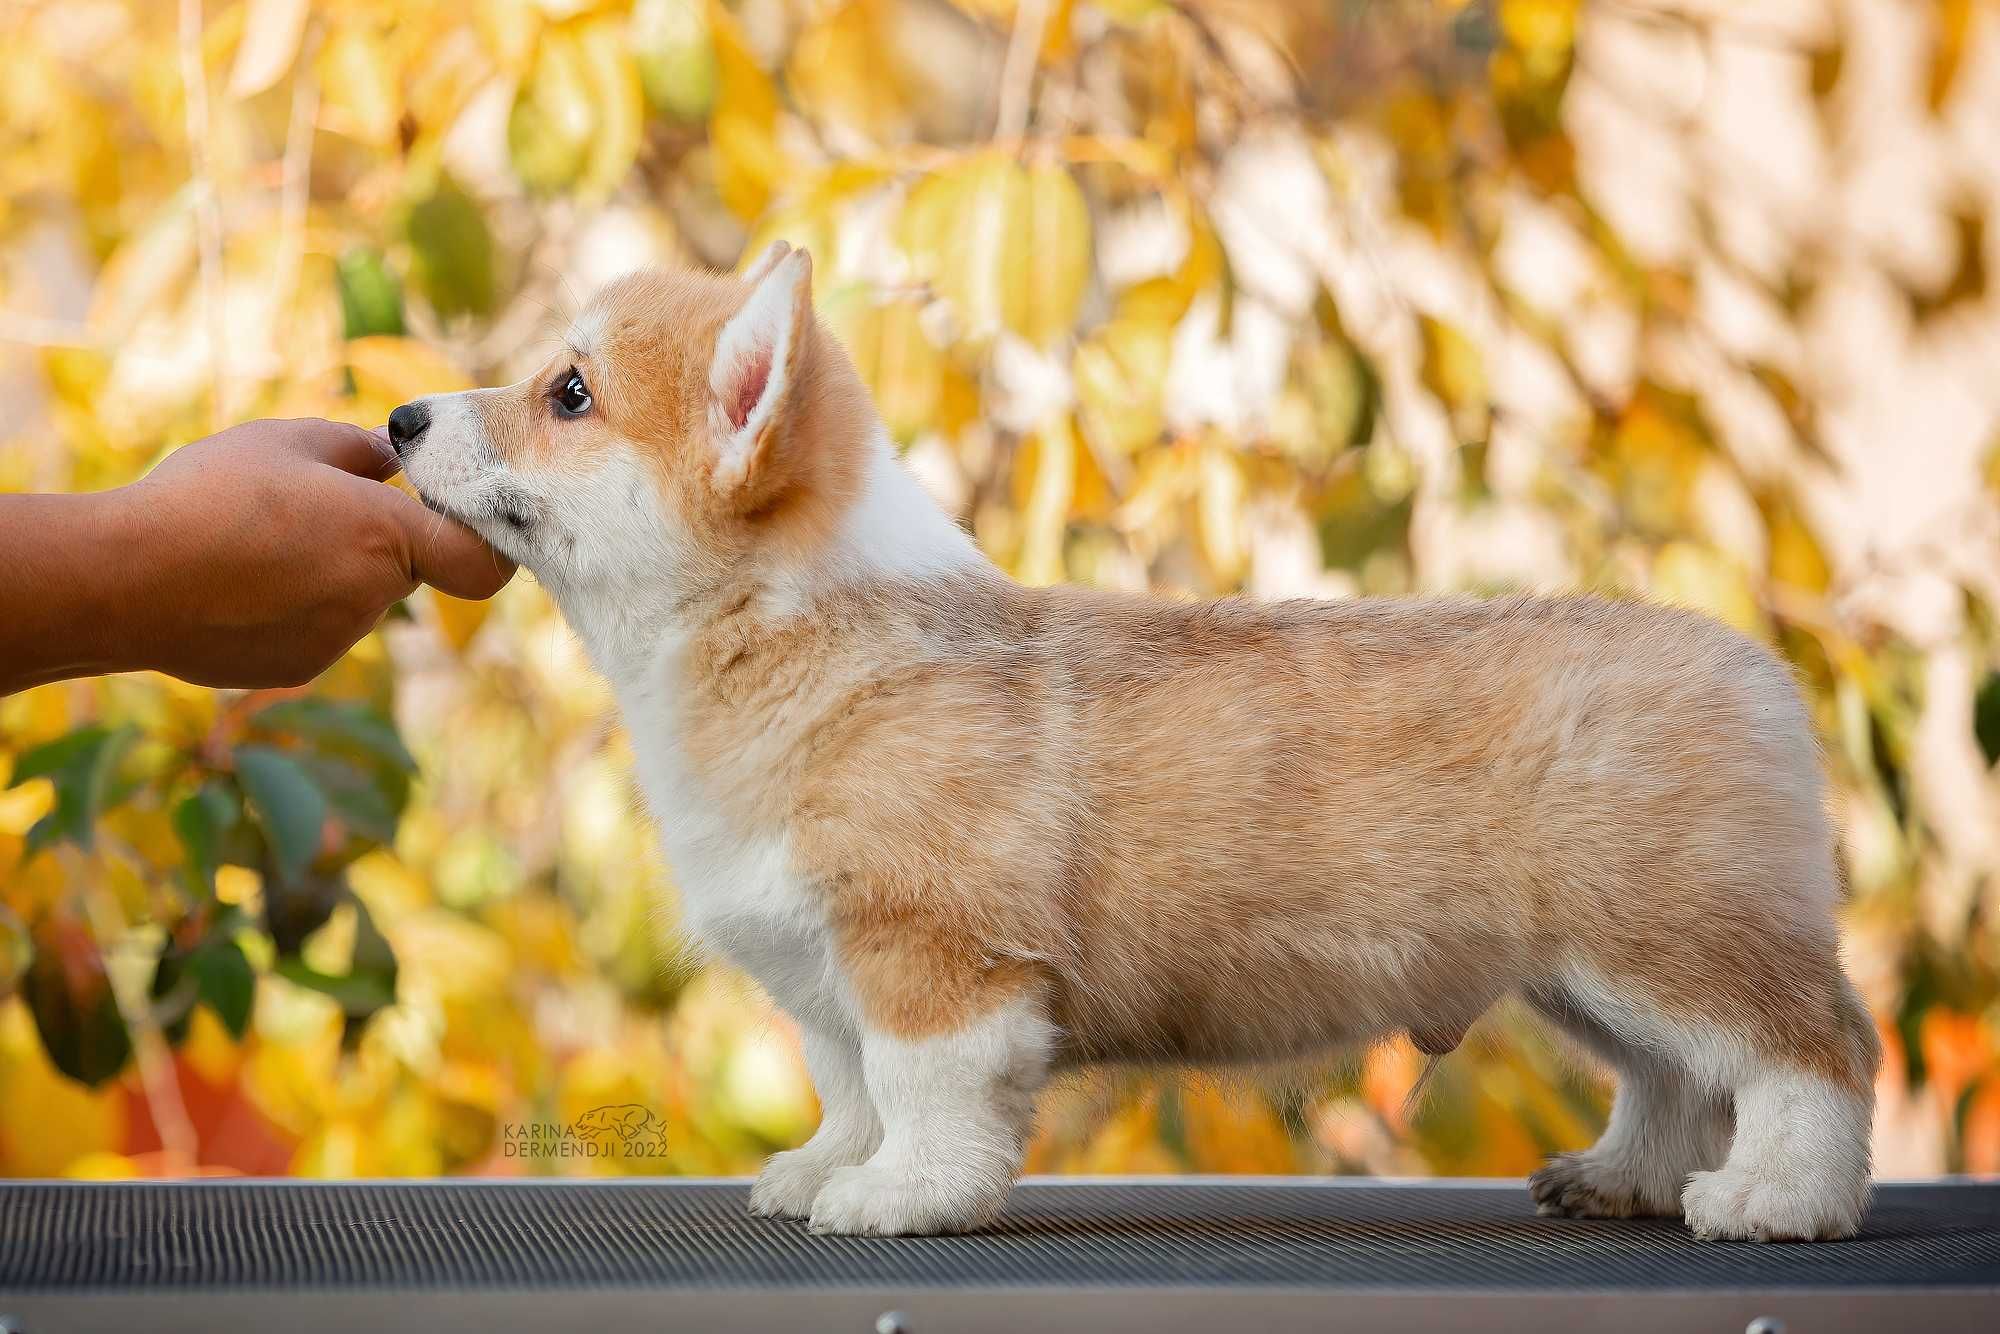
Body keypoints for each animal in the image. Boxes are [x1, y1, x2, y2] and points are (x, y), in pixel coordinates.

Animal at [390, 243, 1872, 1240]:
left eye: (568, 393)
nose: (400, 416)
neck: (780, 631)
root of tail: (1758, 669)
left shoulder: (937, 958)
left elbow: (920, 1093)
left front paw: (897, 1196)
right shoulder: (830, 978)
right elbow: (846, 1081)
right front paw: (820, 1169)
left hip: (1671, 941)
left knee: (1810, 1052)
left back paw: (1774, 1193)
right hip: (1589, 972)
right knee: (1673, 1079)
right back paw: (1629, 1175)